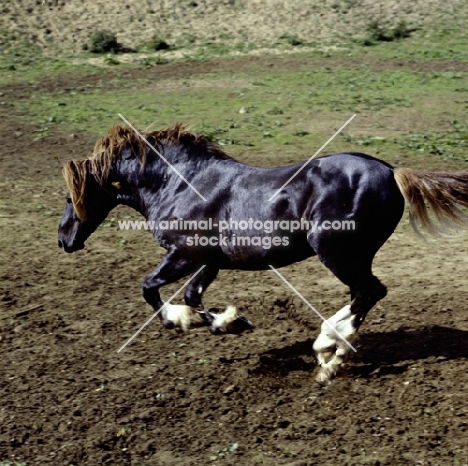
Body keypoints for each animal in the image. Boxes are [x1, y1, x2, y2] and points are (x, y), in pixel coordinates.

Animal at [59, 122, 468, 384]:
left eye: (68, 197)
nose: (64, 240)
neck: (177, 185)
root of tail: (392, 171)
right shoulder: (209, 261)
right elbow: (192, 295)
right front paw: (229, 322)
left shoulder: (184, 254)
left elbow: (150, 288)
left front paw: (184, 321)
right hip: (353, 256)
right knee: (362, 295)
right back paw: (330, 354)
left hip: (335, 251)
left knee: (369, 292)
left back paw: (327, 350)